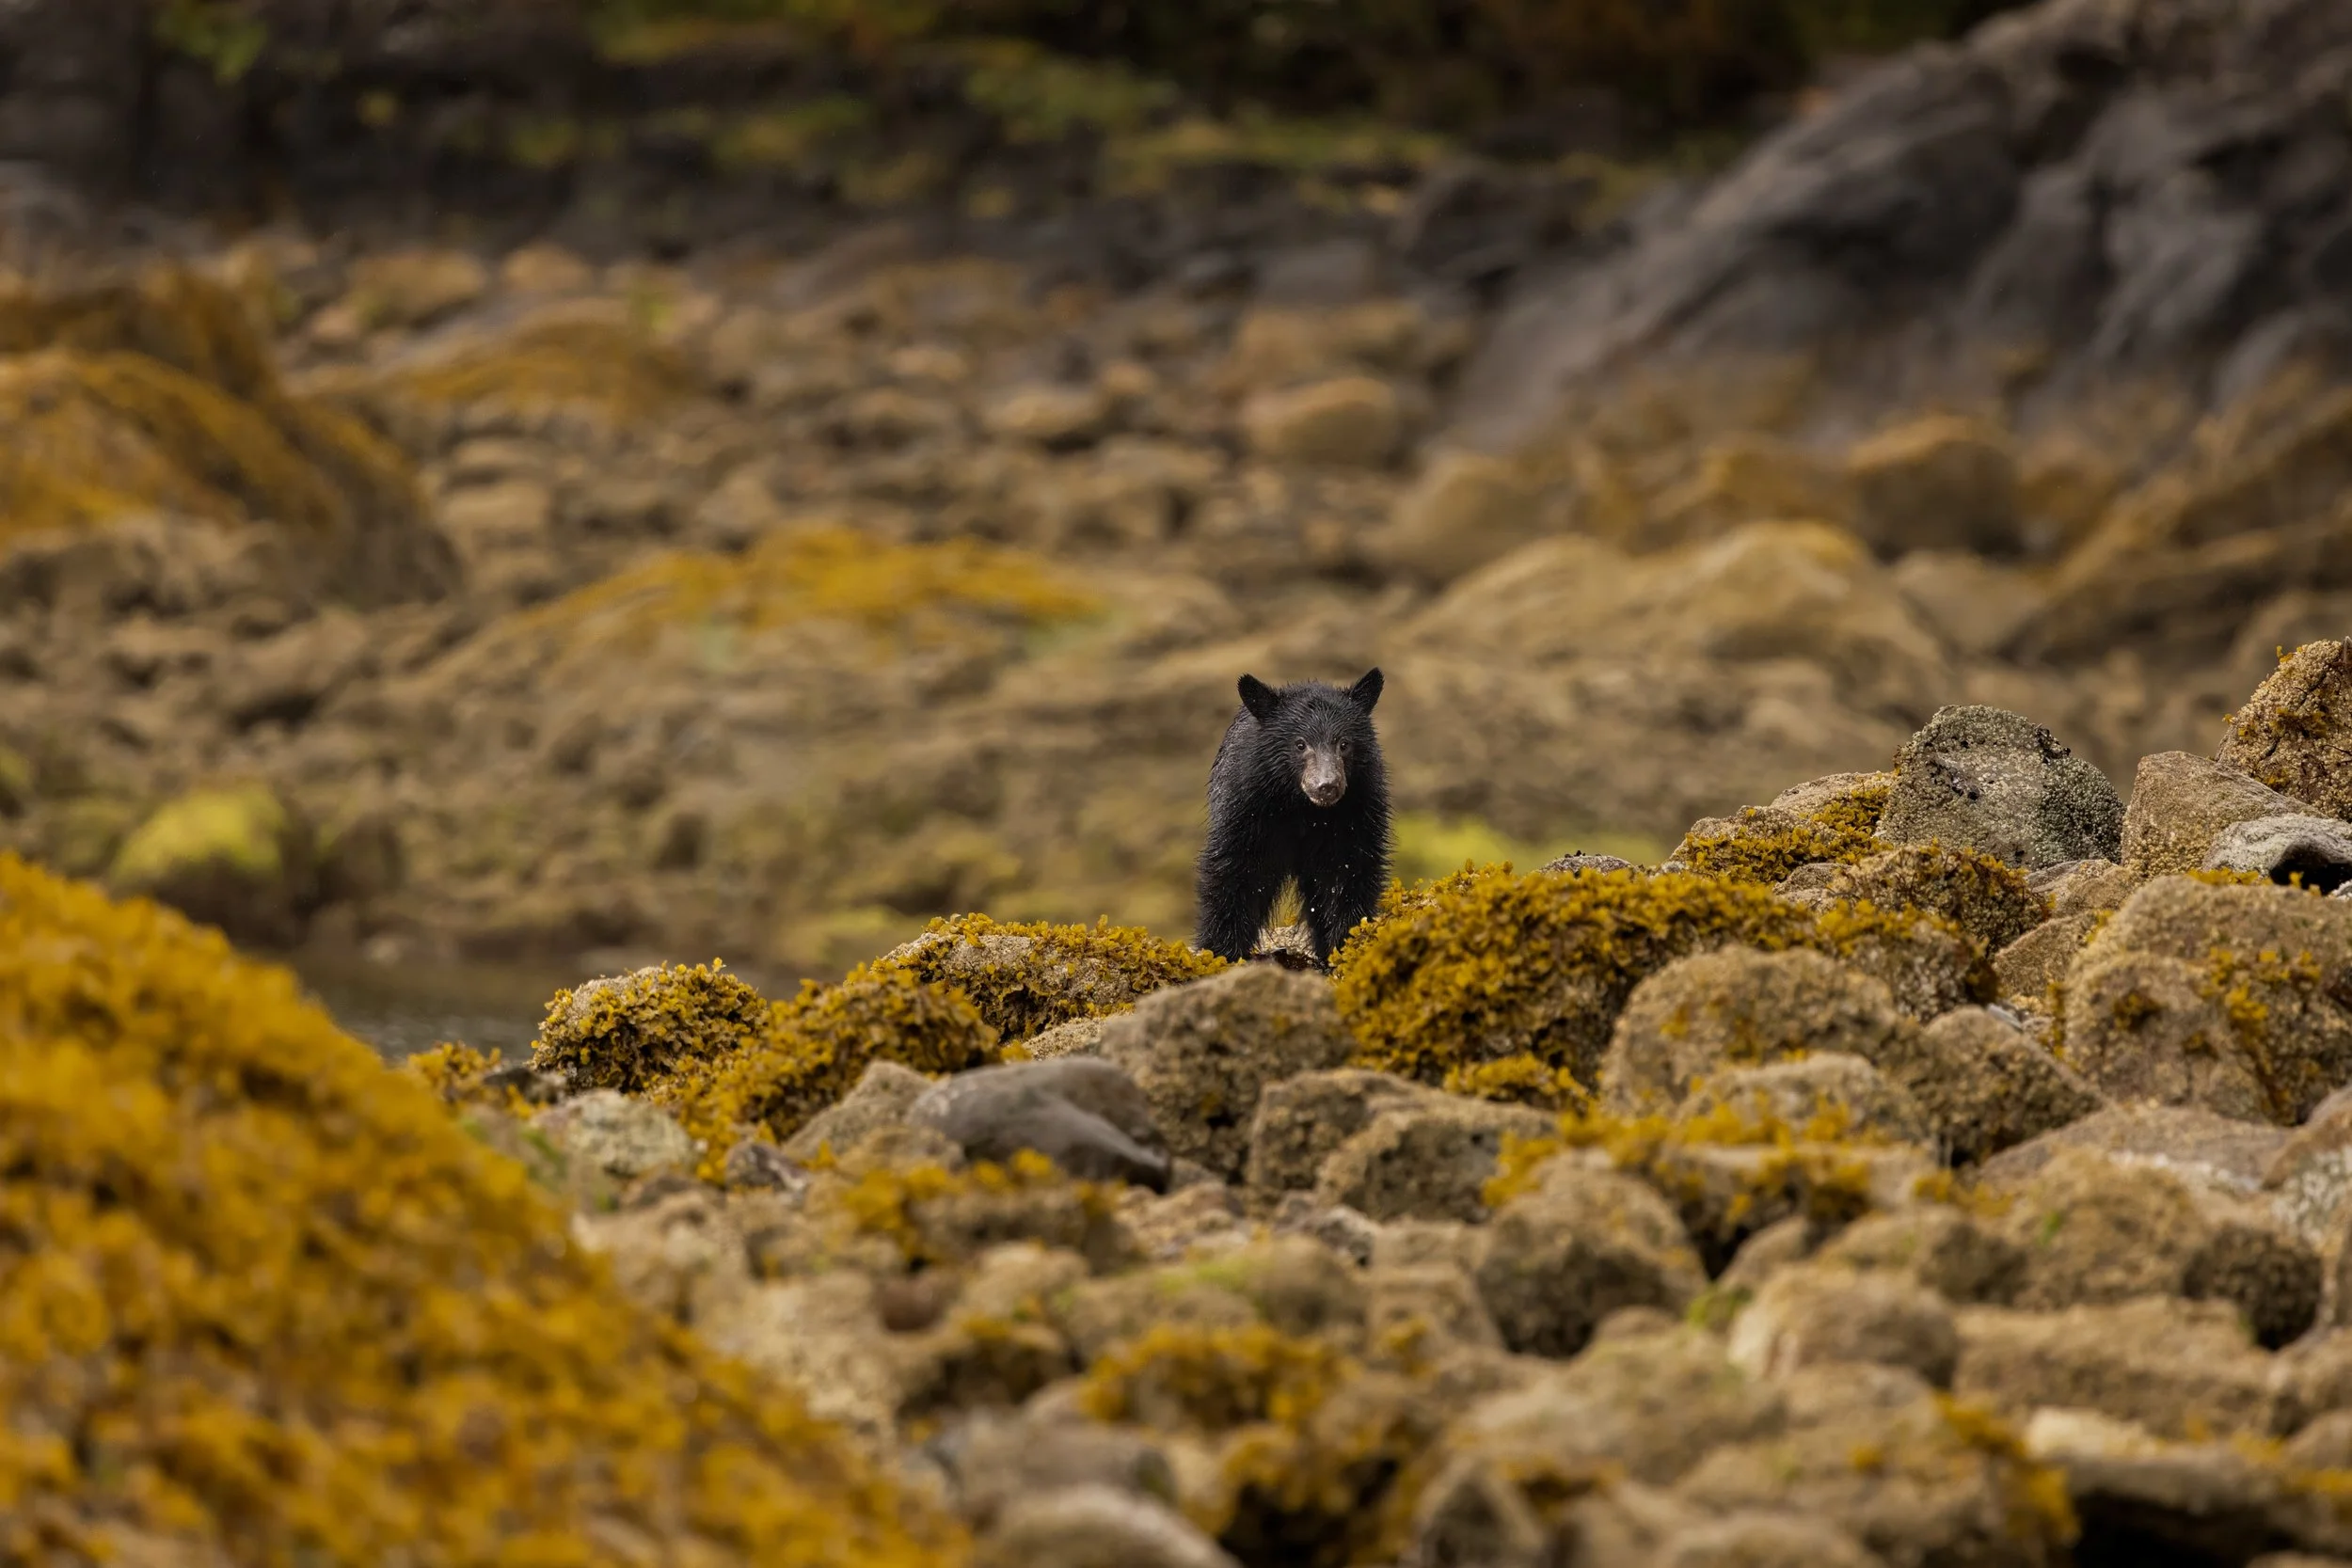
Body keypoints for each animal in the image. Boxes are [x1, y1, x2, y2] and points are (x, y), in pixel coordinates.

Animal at [1195, 667, 1391, 966]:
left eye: (1344, 743)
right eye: (1300, 744)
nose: (1327, 786)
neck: (1302, 808)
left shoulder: (1356, 810)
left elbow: (1348, 871)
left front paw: (1345, 944)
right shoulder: (1247, 806)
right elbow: (1236, 870)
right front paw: (1219, 953)